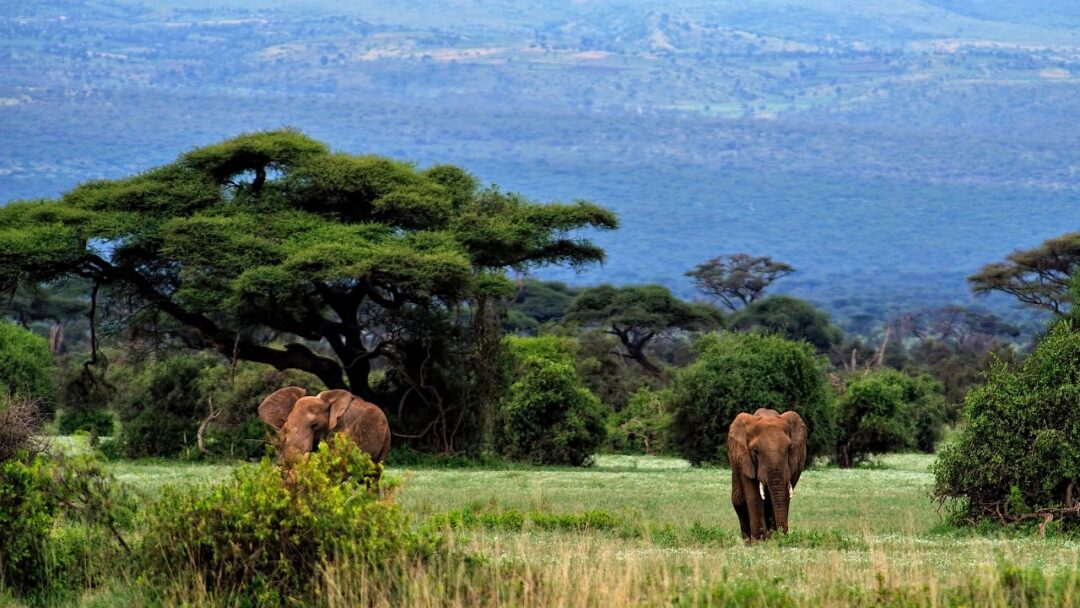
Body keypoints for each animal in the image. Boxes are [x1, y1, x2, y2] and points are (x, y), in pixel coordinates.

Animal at [730, 408, 807, 542]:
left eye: (789, 449)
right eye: (755, 451)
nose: (780, 535)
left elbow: (784, 495)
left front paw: (774, 538)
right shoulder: (745, 460)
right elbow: (754, 495)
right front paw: (760, 541)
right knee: (739, 503)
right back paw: (748, 541)